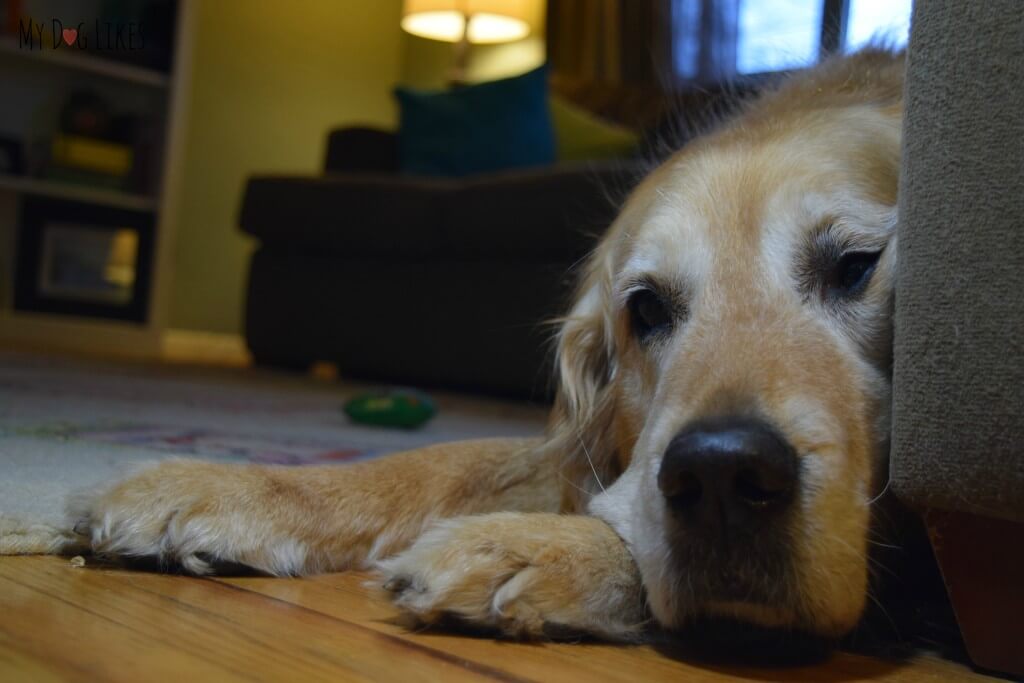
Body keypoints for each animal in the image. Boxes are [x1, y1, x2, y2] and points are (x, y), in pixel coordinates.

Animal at [72, 49, 905, 647]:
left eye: (858, 265)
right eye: (646, 309)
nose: (722, 476)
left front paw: (536, 548)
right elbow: (438, 460)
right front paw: (222, 486)